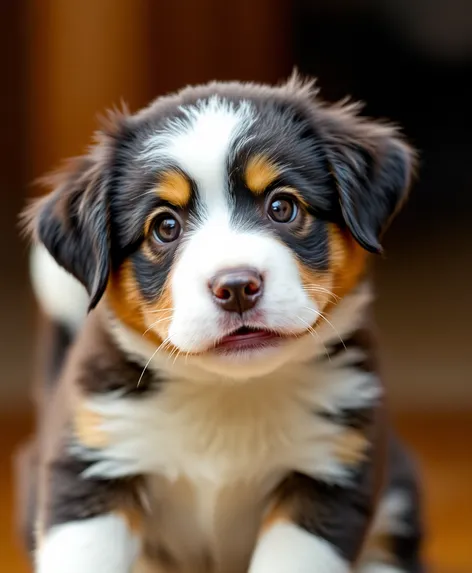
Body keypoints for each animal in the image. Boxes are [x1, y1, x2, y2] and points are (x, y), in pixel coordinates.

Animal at [18, 76, 424, 572]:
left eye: (282, 206)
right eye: (165, 226)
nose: (236, 286)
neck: (228, 394)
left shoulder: (331, 470)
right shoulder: (92, 463)